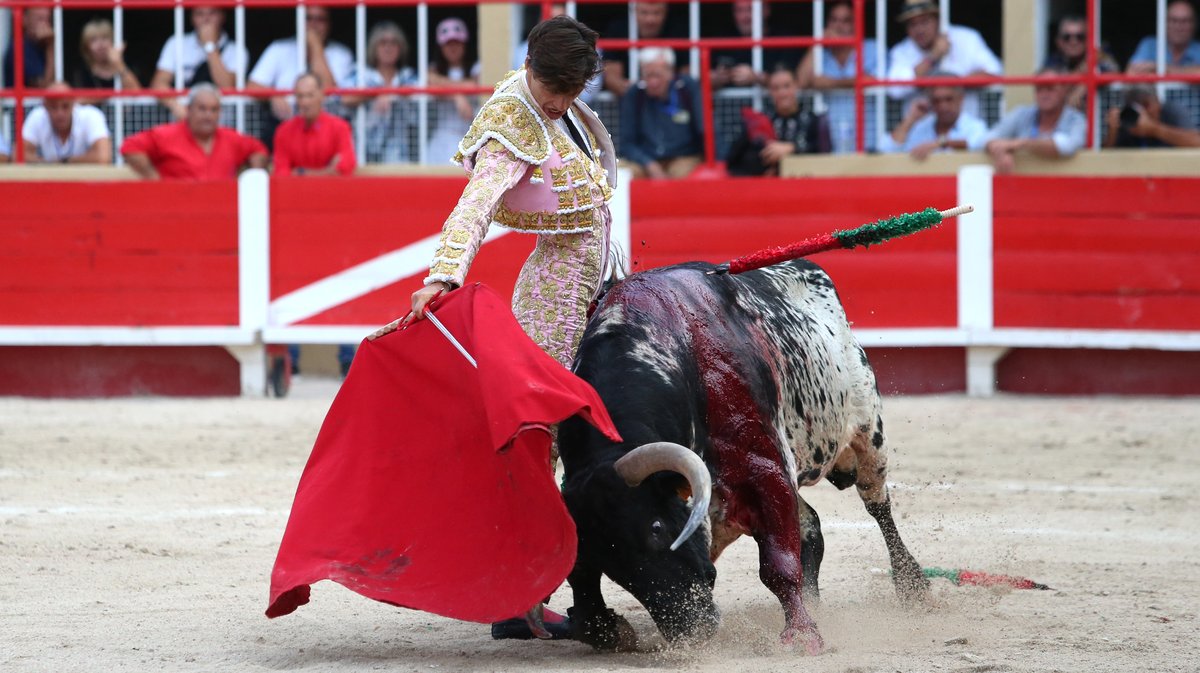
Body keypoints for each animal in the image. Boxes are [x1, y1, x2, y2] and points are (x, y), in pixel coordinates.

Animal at [559, 256, 926, 652]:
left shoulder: (764, 469)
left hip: (868, 434)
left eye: (656, 527)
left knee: (878, 508)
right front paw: (603, 626)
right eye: (602, 554)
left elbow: (779, 565)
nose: (691, 627)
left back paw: (914, 586)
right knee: (811, 526)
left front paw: (802, 635)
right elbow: (581, 580)